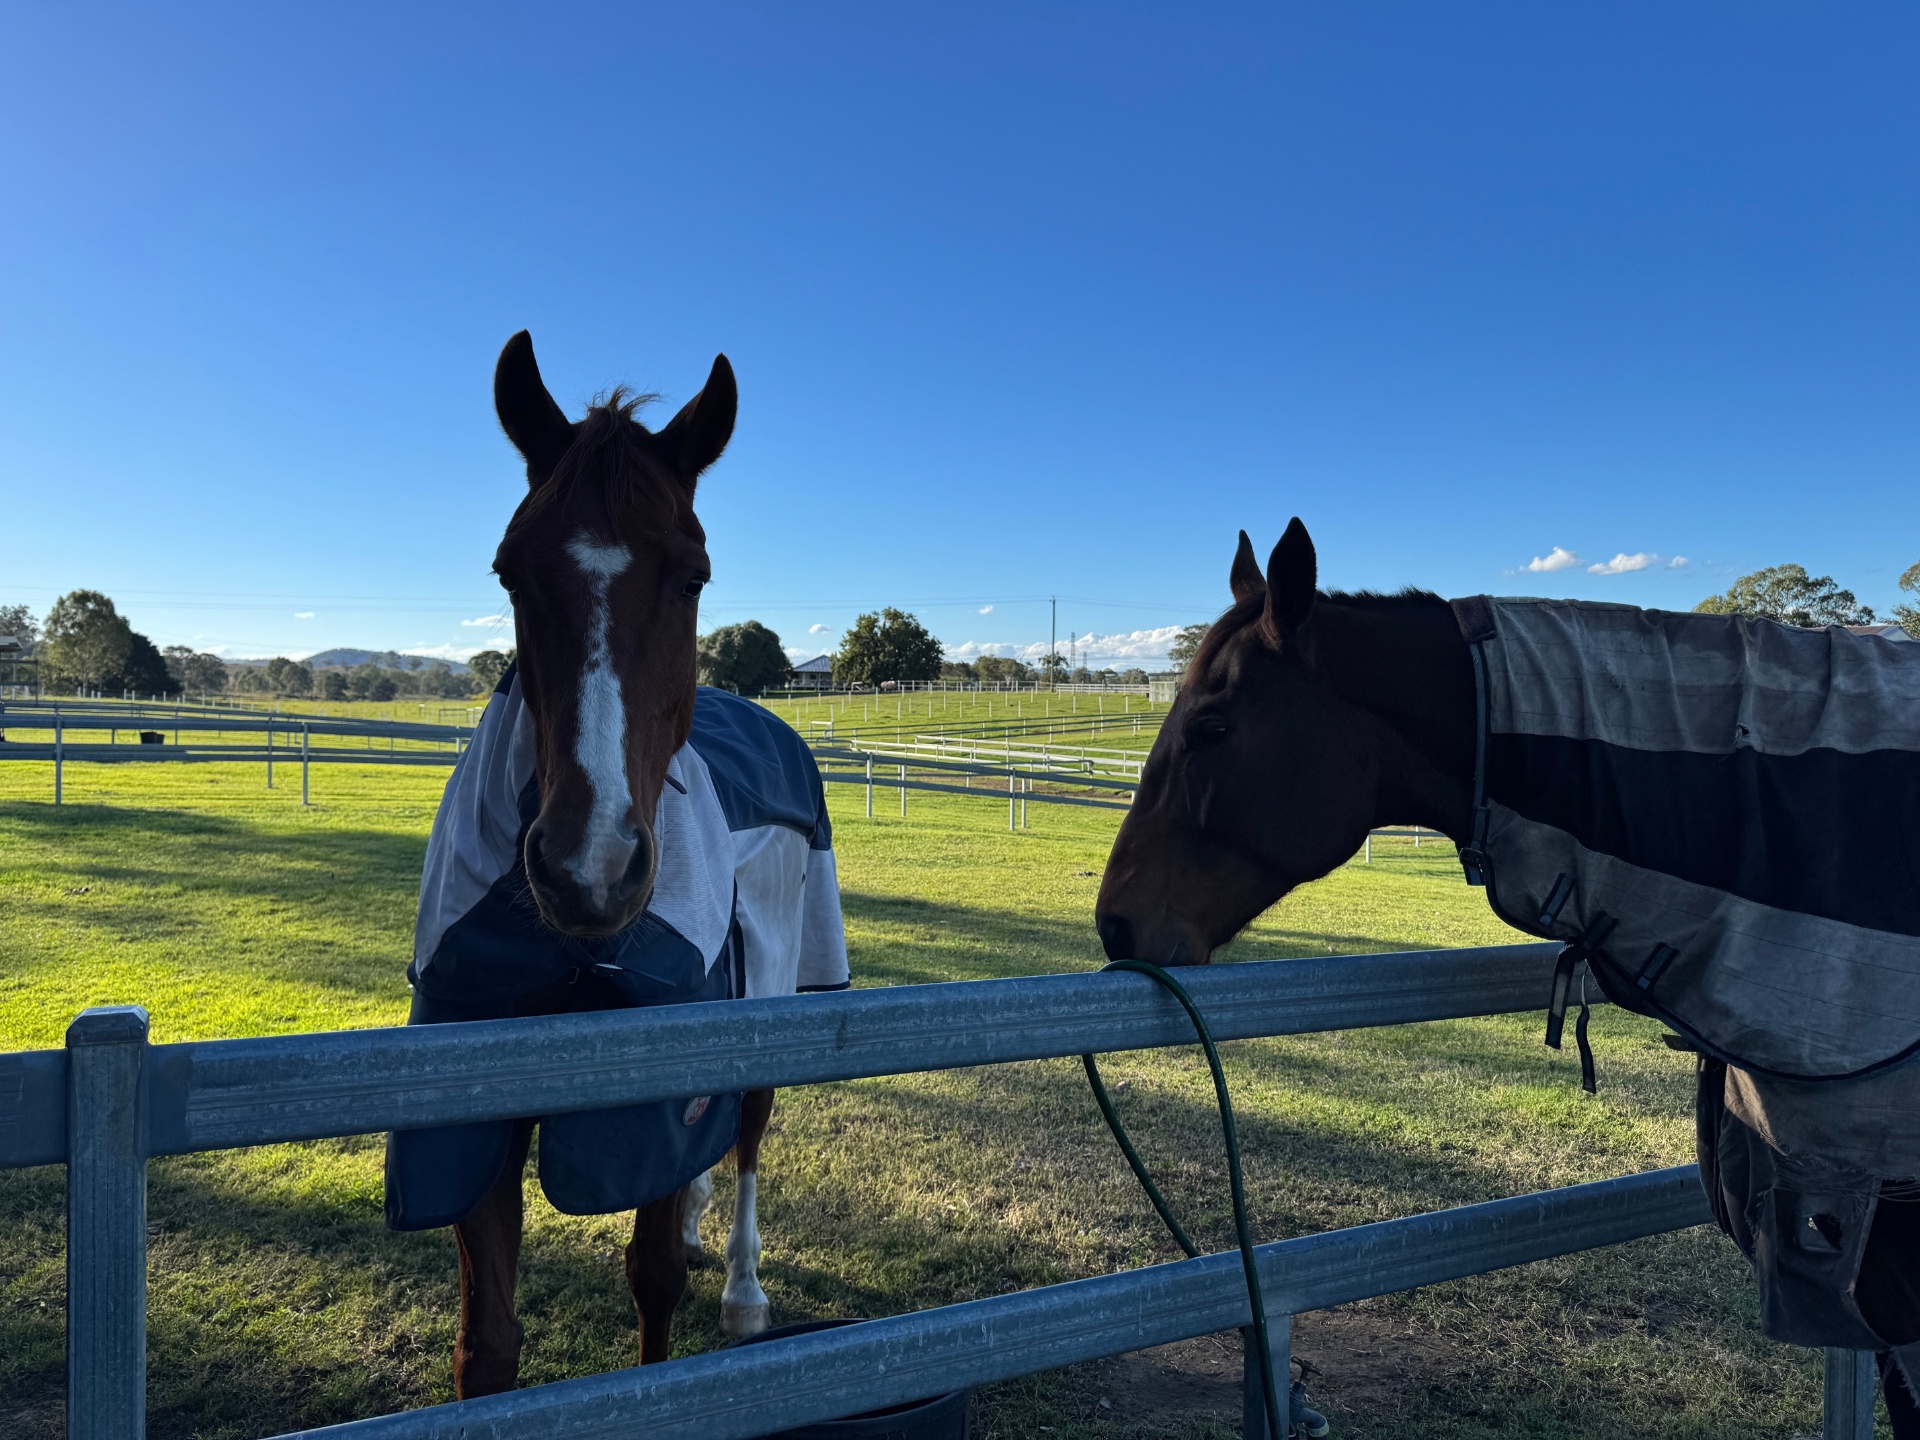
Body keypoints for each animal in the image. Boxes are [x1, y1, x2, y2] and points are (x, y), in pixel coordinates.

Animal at [383, 332, 849, 1397]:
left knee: (749, 1129)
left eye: (693, 577)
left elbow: (653, 1281)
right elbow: (488, 1344)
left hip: (774, 986)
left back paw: (744, 1290)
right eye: (511, 574)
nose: (588, 869)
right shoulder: (474, 1100)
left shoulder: (659, 1090)